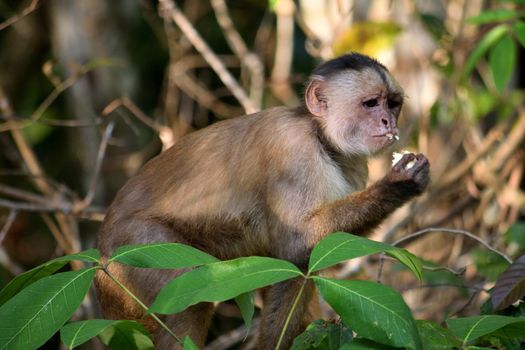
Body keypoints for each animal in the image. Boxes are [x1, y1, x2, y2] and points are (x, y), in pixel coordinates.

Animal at [96, 53, 428, 348]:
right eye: (370, 103)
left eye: (393, 104)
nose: (388, 121)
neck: (320, 135)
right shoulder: (291, 147)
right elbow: (297, 241)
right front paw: (397, 186)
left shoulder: (354, 166)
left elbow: (298, 261)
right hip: (134, 250)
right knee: (187, 290)